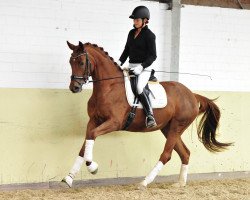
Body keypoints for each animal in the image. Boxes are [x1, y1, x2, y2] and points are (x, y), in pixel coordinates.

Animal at [62, 41, 232, 189]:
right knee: (185, 153)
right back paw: (180, 183)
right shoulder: (93, 121)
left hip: (177, 126)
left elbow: (91, 136)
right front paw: (69, 178)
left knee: (166, 155)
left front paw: (92, 167)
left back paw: (144, 182)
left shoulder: (114, 122)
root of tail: (192, 95)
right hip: (168, 128)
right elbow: (86, 143)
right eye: (70, 62)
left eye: (81, 63)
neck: (109, 87)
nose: (74, 87)